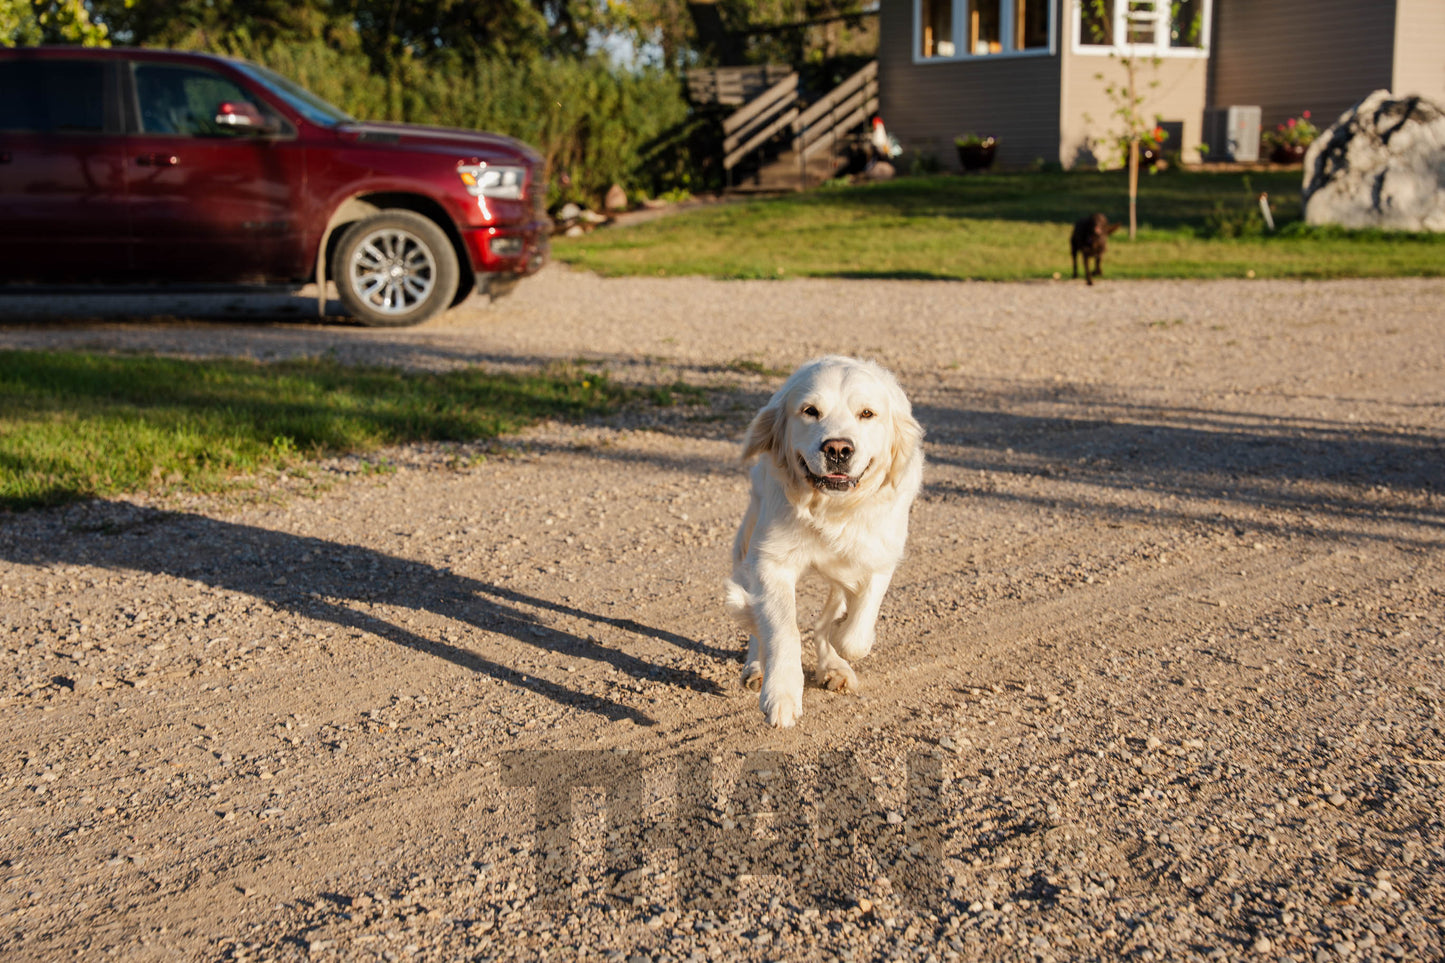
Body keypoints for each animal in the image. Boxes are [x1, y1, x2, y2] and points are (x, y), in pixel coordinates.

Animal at [722, 355, 924, 722]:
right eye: (810, 411)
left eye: (867, 413)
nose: (838, 448)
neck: (832, 509)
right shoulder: (772, 561)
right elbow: (782, 628)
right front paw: (781, 694)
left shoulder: (880, 558)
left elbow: (854, 635)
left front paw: (841, 647)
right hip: (748, 543)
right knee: (759, 622)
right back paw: (757, 665)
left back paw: (834, 666)